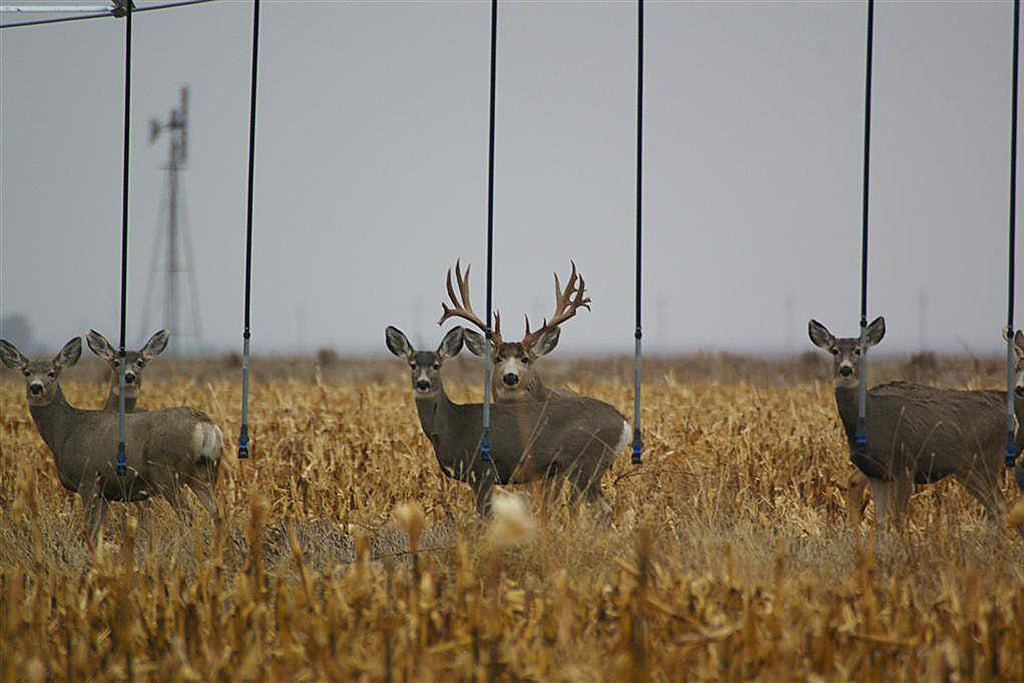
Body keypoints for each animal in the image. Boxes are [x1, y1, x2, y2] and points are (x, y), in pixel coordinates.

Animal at [0, 335, 223, 544]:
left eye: (52, 373)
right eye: (26, 372)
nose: (36, 387)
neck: (65, 432)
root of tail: (205, 424)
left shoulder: (89, 478)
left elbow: (90, 530)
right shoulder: (106, 492)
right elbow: (99, 530)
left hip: (166, 472)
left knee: (189, 516)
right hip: (203, 473)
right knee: (217, 514)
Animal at [385, 325, 626, 511]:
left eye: (436, 365)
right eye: (412, 365)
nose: (423, 383)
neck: (454, 426)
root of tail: (623, 421)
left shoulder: (482, 471)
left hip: (587, 463)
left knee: (603, 509)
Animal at [811, 317, 1019, 536]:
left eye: (859, 350)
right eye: (835, 350)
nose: (845, 369)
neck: (871, 420)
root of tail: (1010, 415)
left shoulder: (905, 464)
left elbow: (899, 519)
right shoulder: (877, 473)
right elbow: (881, 522)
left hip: (983, 462)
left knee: (999, 504)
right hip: (969, 468)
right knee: (995, 506)